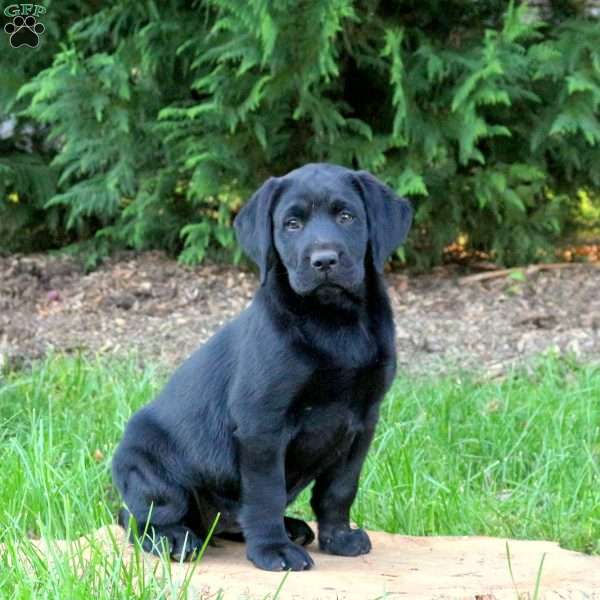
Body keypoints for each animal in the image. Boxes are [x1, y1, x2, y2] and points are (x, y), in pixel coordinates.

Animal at [111, 162, 412, 568]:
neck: (334, 320)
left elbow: (339, 489)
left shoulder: (362, 421)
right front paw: (273, 550)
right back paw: (173, 538)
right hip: (147, 464)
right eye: (292, 224)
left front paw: (338, 538)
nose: (324, 261)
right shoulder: (262, 422)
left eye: (347, 216)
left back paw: (291, 527)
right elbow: (266, 492)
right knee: (139, 518)